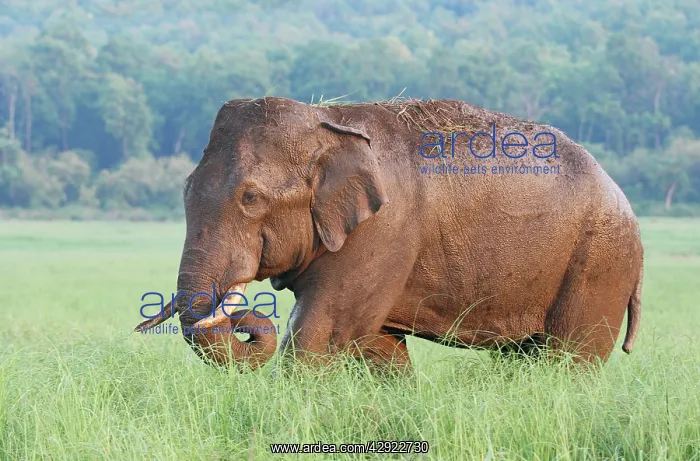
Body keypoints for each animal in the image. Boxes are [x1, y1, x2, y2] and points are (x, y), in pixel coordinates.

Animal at [134, 96, 644, 371]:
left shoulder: (385, 230)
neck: (326, 121)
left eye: (251, 198)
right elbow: (377, 346)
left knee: (570, 359)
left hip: (599, 262)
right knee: (522, 357)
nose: (243, 317)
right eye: (185, 190)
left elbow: (324, 332)